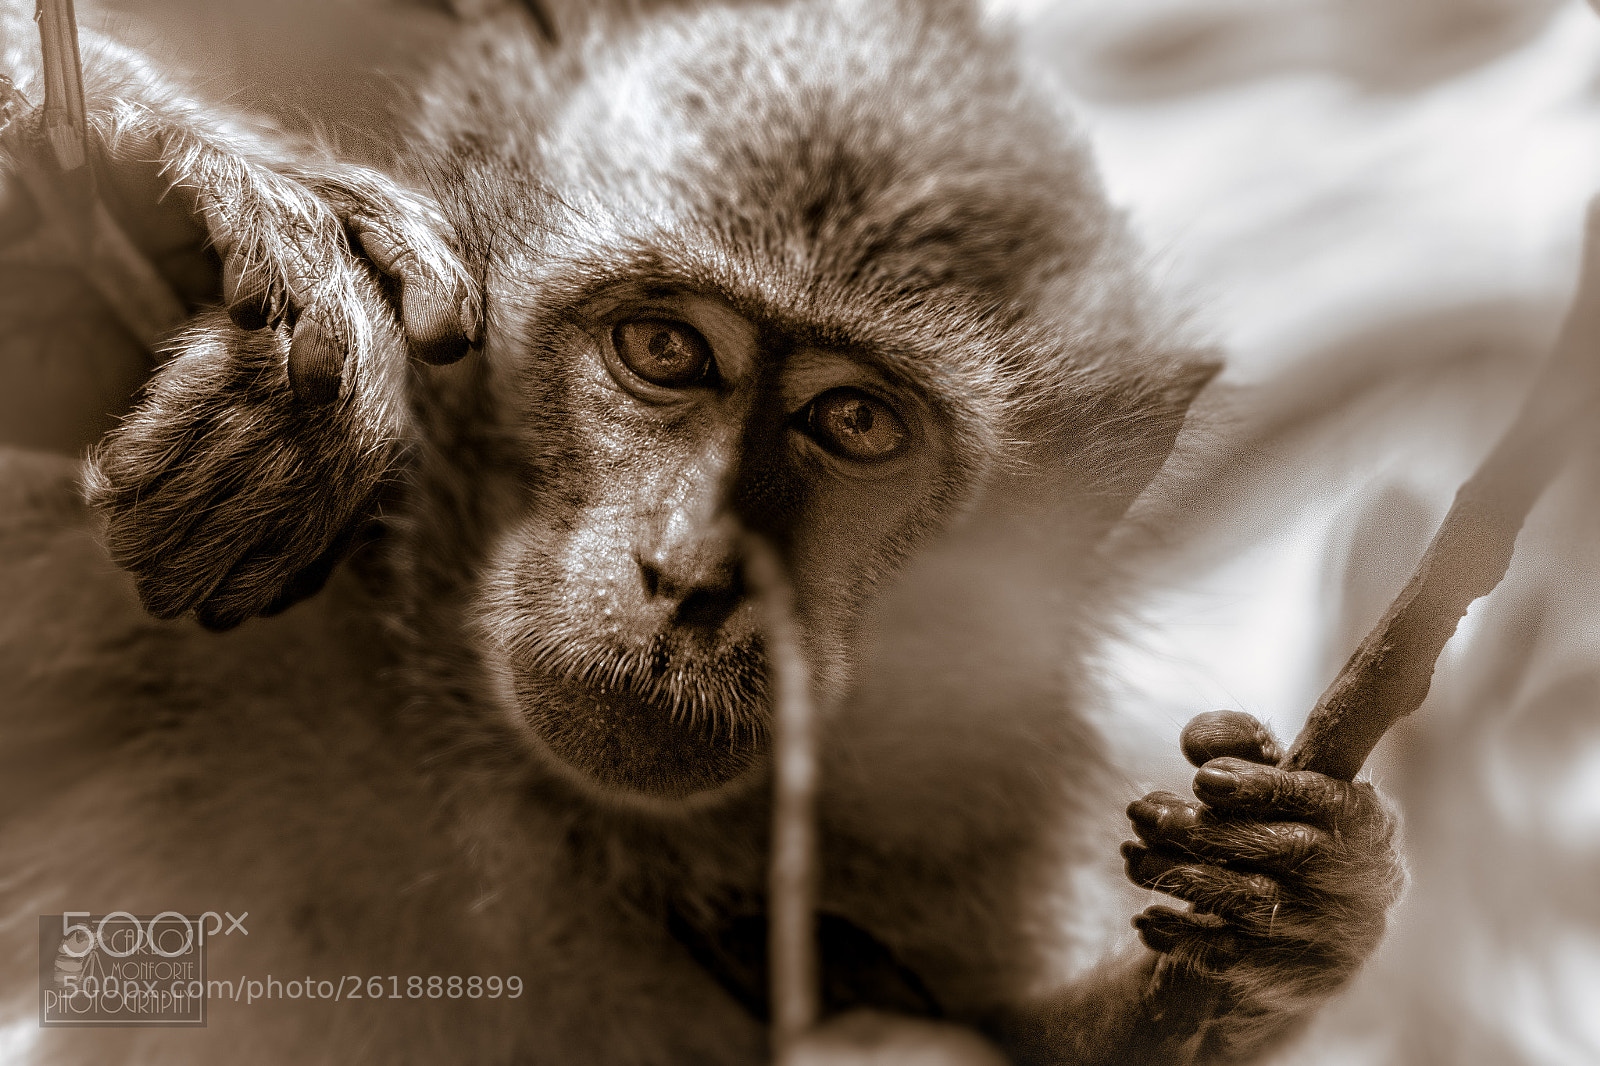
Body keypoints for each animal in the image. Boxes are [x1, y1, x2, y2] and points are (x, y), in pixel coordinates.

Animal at [0, 1, 1403, 1063]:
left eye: (854, 421)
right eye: (665, 348)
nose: (691, 576)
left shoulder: (960, 793)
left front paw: (1289, 916)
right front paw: (162, 149)